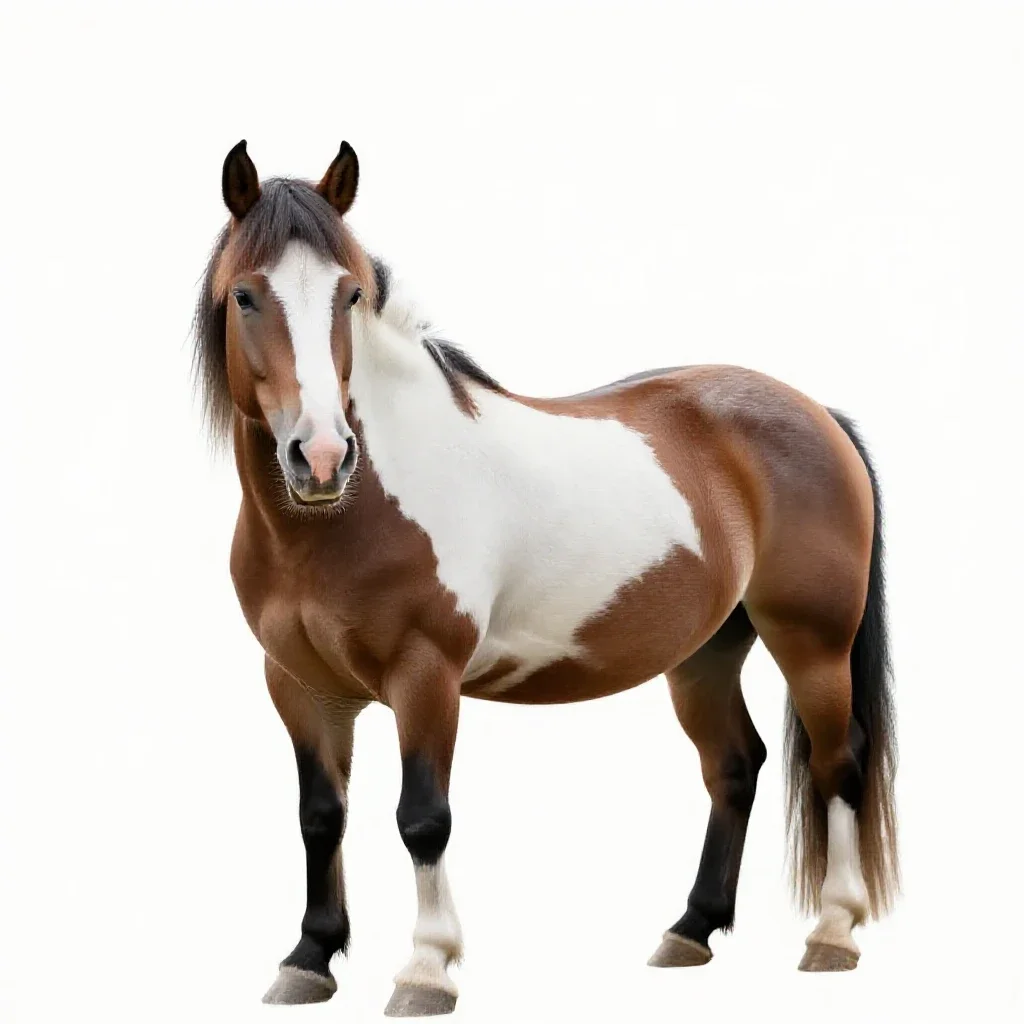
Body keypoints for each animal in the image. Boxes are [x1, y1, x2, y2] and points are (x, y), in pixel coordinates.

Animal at [192, 139, 899, 1016]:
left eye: (349, 294)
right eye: (245, 295)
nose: (321, 457)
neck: (346, 517)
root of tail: (818, 413)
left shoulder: (426, 676)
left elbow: (422, 818)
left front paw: (426, 970)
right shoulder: (298, 684)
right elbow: (320, 816)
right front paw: (309, 959)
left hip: (812, 642)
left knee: (840, 763)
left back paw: (833, 934)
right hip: (706, 652)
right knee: (736, 765)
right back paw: (690, 930)